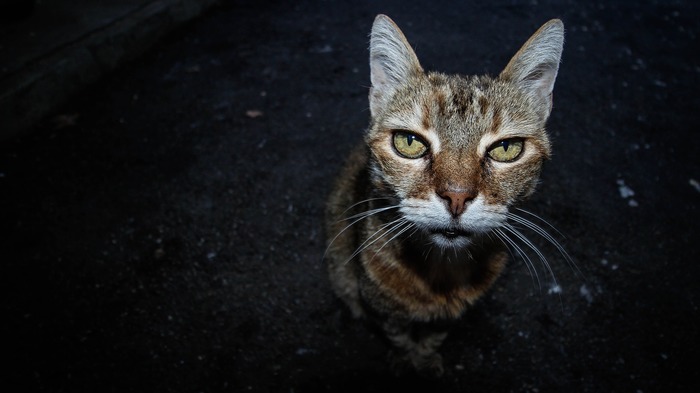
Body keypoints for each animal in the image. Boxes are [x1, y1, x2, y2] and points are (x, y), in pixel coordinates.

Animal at [326, 15, 568, 376]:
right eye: (409, 142)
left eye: (506, 148)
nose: (456, 197)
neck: (440, 273)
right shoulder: (381, 309)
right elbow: (398, 335)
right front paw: (406, 358)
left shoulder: (449, 316)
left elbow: (434, 336)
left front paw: (425, 357)